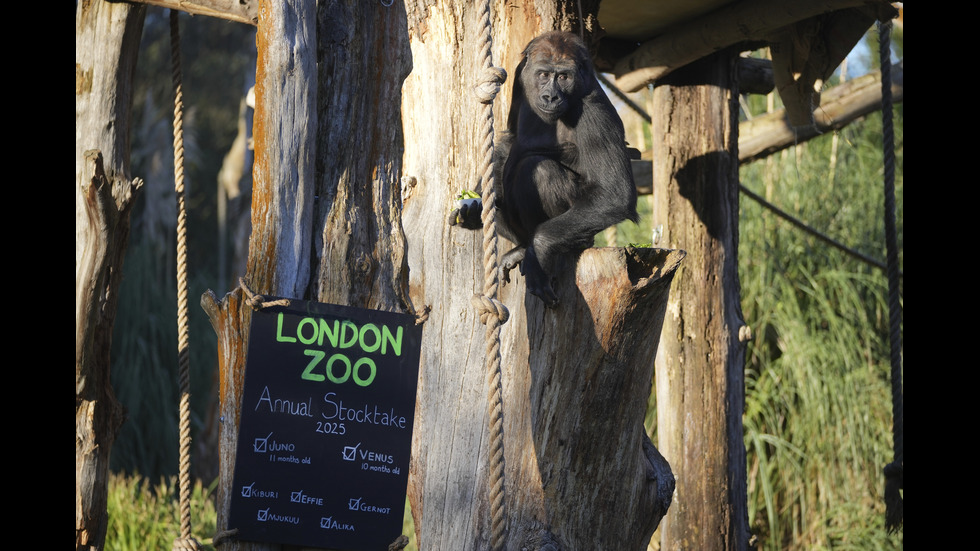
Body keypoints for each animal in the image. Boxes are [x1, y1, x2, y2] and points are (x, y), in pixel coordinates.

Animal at [456, 30, 640, 308]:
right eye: (543, 74)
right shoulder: (519, 77)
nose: (550, 96)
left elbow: (614, 194)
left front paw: (539, 251)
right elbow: (510, 139)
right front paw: (473, 204)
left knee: (540, 171)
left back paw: (536, 248)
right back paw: (518, 244)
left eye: (563, 77)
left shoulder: (594, 111)